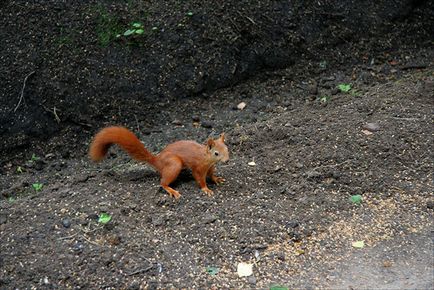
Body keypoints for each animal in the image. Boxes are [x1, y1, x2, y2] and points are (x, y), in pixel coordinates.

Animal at [89, 127, 231, 199]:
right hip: (174, 164)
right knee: (162, 183)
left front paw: (216, 179)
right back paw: (171, 190)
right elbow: (199, 179)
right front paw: (206, 189)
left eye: (227, 148)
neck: (206, 157)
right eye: (216, 153)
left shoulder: (211, 166)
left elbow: (211, 174)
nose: (227, 160)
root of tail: (157, 160)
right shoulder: (198, 167)